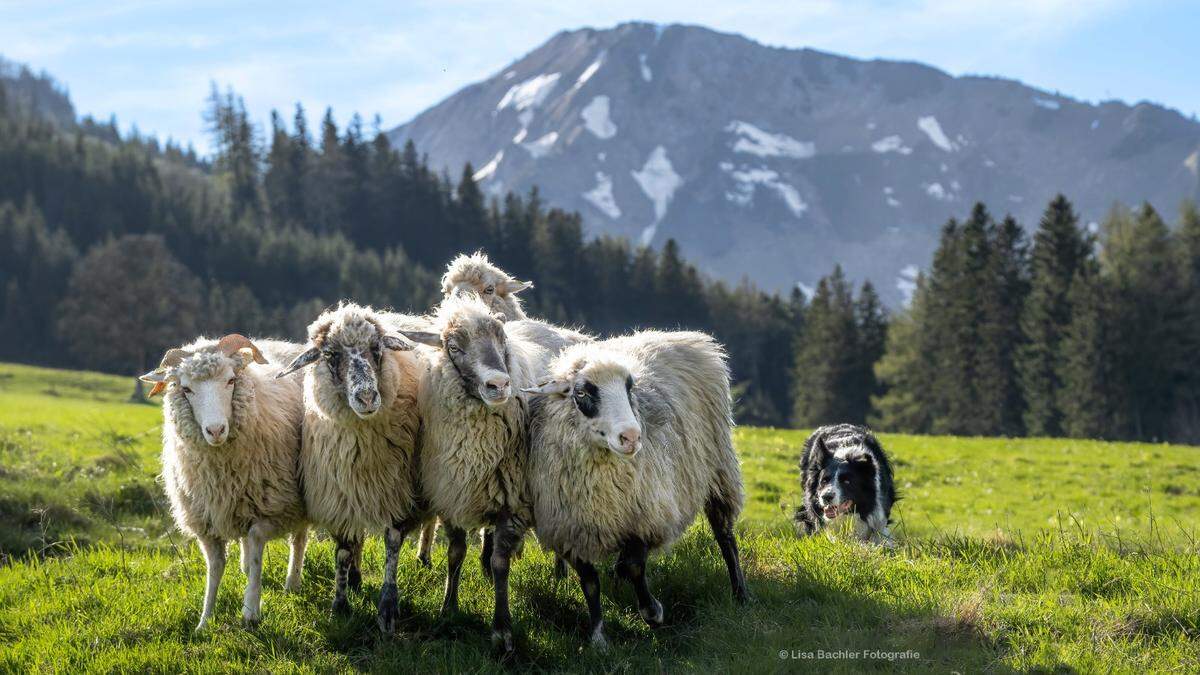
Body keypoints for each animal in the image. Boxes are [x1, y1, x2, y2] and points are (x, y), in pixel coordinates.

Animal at [139, 333, 309, 629]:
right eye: (186, 389)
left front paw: (251, 609)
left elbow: (257, 545)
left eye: (230, 380)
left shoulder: (273, 507)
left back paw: (292, 582)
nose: (215, 430)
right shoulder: (206, 520)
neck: (222, 473)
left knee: (298, 539)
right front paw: (205, 621)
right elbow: (215, 567)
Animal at [276, 302, 432, 634]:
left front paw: (387, 608)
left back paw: (425, 558)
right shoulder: (339, 496)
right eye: (330, 355)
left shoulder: (399, 492)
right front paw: (340, 605)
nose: (368, 397)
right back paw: (357, 579)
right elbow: (344, 551)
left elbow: (392, 543)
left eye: (376, 348)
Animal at [525, 329, 748, 648]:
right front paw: (598, 637)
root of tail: (683, 336)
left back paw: (740, 593)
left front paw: (652, 613)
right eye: (582, 392)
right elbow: (590, 583)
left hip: (719, 467)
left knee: (724, 534)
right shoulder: (572, 528)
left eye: (629, 388)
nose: (631, 437)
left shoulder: (644, 516)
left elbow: (633, 567)